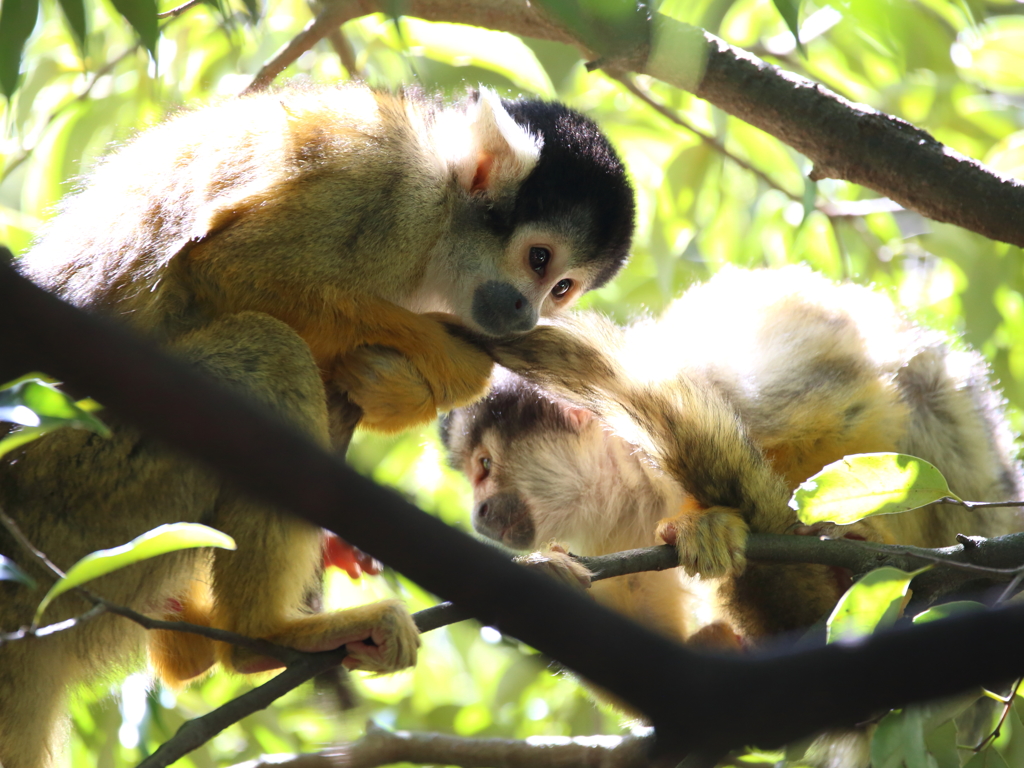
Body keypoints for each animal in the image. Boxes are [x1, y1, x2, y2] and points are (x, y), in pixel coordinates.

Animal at [0, 83, 634, 768]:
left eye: (562, 288)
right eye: (538, 259)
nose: (525, 315)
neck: (441, 214)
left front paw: (404, 390)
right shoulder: (381, 189)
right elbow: (228, 271)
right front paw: (451, 359)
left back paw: (200, 645)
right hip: (85, 487)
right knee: (268, 349)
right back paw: (258, 634)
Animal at [442, 266, 1024, 643]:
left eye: (484, 467)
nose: (478, 513)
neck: (638, 475)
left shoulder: (705, 372)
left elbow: (844, 403)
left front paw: (742, 524)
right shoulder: (618, 532)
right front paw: (549, 576)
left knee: (918, 387)